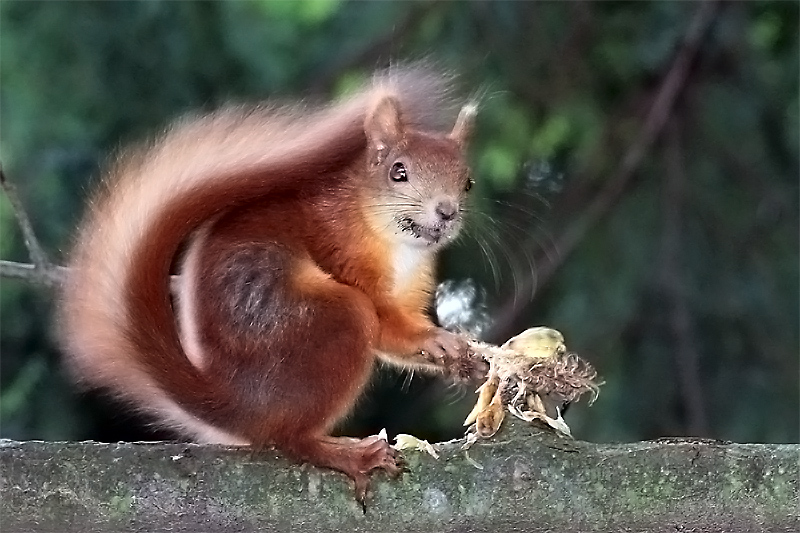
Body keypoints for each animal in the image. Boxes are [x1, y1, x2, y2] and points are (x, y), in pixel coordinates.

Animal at [57, 66, 482, 498]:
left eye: (467, 182)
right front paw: (436, 339)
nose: (446, 212)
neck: (399, 246)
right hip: (333, 320)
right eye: (399, 172)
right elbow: (387, 325)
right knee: (291, 438)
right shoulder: (339, 250)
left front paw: (465, 357)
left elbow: (398, 337)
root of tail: (238, 404)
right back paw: (348, 455)